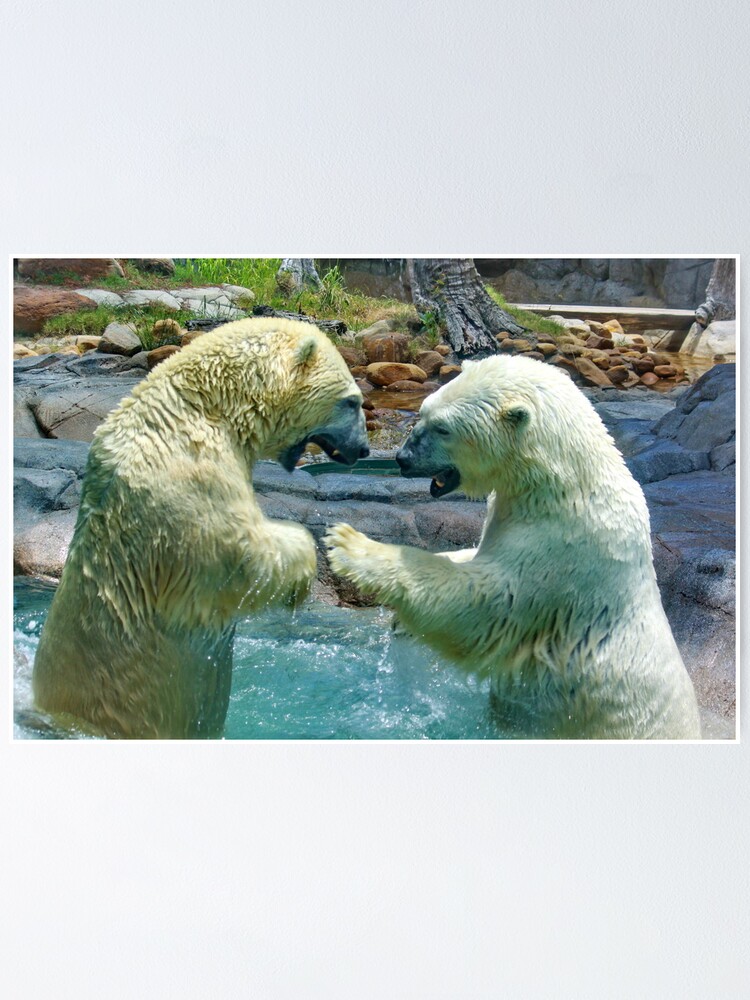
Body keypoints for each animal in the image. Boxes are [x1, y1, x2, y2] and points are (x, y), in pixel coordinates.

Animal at [32, 317, 369, 739]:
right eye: (352, 401)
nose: (365, 449)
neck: (203, 406)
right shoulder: (192, 473)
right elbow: (236, 552)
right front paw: (307, 565)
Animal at [325, 354, 701, 739]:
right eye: (423, 412)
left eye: (442, 428)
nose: (402, 458)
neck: (563, 485)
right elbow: (476, 556)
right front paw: (401, 620)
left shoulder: (562, 549)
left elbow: (489, 602)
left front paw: (349, 545)